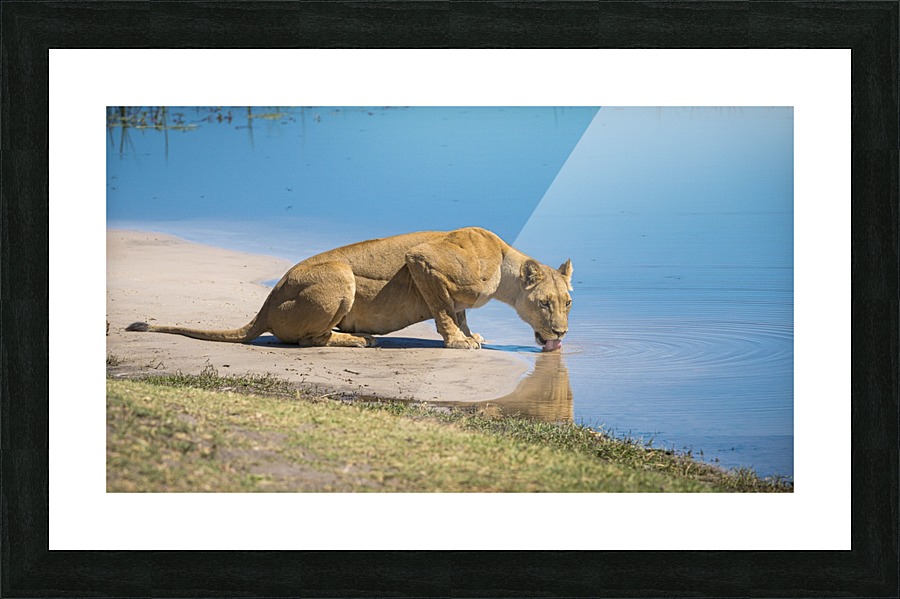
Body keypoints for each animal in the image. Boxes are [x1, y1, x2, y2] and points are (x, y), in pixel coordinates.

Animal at [127, 227, 573, 351]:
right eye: (545, 303)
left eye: (568, 302)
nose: (562, 333)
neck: (504, 265)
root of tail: (267, 303)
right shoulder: (423, 259)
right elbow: (445, 313)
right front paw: (458, 343)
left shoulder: (446, 283)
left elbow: (458, 311)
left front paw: (470, 335)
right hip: (341, 274)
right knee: (308, 341)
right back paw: (358, 340)